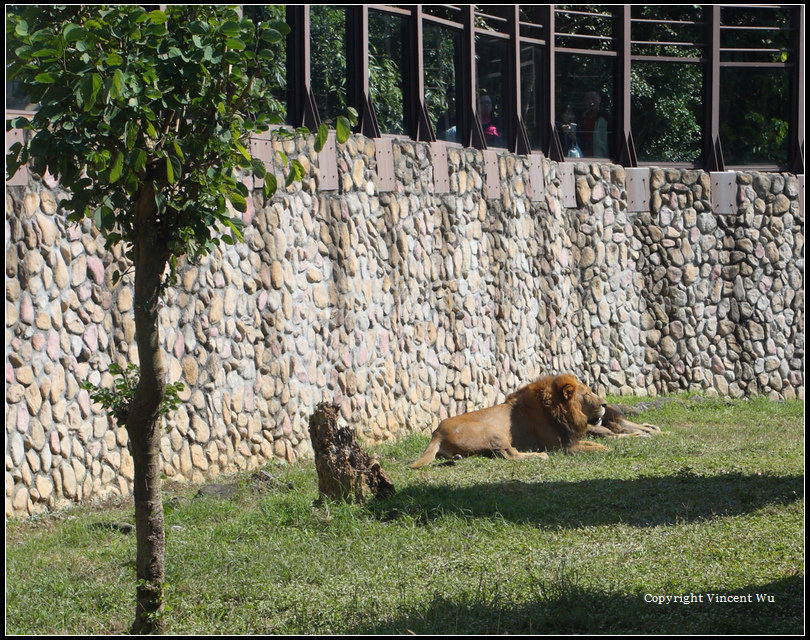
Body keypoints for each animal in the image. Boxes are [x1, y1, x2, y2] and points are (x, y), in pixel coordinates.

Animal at [410, 372, 656, 468]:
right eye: (587, 395)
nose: (605, 404)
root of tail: (436, 432)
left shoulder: (571, 440)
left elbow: (594, 442)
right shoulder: (562, 447)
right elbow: (597, 447)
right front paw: (608, 450)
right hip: (493, 432)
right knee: (511, 455)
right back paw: (538, 456)